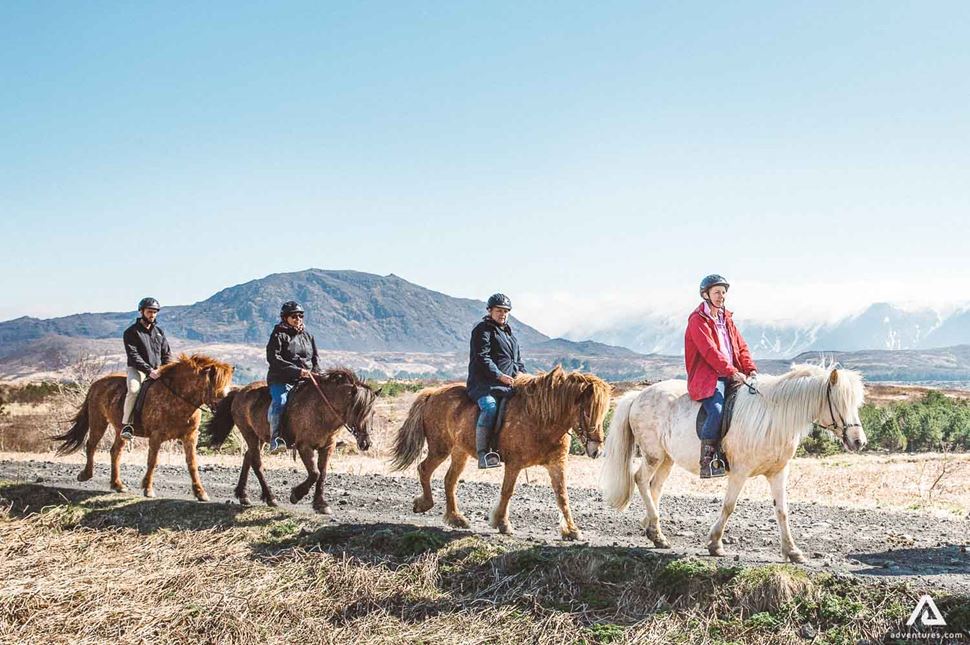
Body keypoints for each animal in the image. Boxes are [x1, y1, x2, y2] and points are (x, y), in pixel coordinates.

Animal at [54, 354, 234, 501]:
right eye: (215, 386)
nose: (224, 408)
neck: (178, 398)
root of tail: (97, 383)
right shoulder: (156, 436)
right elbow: (152, 461)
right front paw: (148, 489)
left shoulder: (190, 437)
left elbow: (192, 464)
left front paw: (200, 492)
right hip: (98, 421)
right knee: (91, 445)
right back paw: (86, 475)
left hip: (119, 429)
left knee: (115, 452)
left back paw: (118, 485)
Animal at [204, 367, 377, 513]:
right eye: (357, 410)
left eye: (373, 413)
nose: (365, 443)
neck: (322, 409)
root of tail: (240, 391)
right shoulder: (304, 446)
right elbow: (314, 473)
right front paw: (296, 495)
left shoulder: (328, 447)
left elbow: (322, 474)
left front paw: (321, 504)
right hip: (249, 434)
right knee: (257, 463)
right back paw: (270, 497)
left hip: (259, 437)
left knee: (248, 457)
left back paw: (243, 495)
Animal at [391, 365, 611, 540]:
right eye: (587, 412)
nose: (597, 450)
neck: (540, 418)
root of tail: (431, 394)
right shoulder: (514, 464)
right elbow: (507, 491)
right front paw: (502, 523)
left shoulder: (556, 464)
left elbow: (562, 496)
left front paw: (572, 530)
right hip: (440, 448)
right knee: (424, 469)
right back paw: (424, 504)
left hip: (459, 452)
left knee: (449, 480)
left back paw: (456, 518)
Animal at [601, 364, 867, 562]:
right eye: (840, 403)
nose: (859, 441)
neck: (773, 417)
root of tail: (638, 396)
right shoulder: (739, 472)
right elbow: (729, 506)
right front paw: (715, 544)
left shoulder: (778, 473)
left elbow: (782, 511)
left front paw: (793, 551)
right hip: (653, 454)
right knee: (640, 479)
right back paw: (656, 530)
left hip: (667, 459)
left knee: (654, 486)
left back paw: (653, 532)